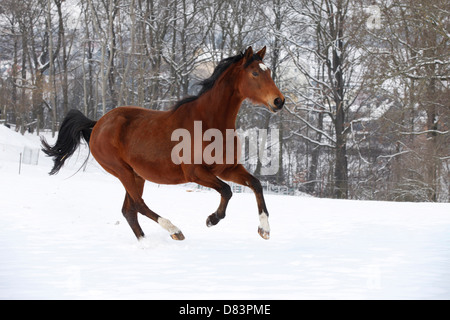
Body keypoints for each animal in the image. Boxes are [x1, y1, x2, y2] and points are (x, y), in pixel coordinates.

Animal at [40, 47, 284, 240]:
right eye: (255, 73)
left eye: (269, 72)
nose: (279, 101)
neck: (209, 122)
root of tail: (98, 123)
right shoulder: (195, 173)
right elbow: (226, 190)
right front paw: (212, 219)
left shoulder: (227, 169)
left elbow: (256, 184)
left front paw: (265, 230)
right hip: (122, 171)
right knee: (138, 205)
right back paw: (174, 230)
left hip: (136, 175)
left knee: (129, 210)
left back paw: (145, 243)